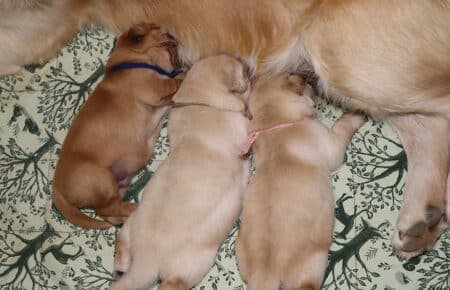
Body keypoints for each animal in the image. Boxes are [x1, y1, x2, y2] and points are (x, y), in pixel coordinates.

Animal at [53, 23, 185, 229]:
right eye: (162, 33)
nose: (174, 36)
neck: (132, 60)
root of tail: (56, 189)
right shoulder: (155, 87)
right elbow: (176, 80)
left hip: (119, 183)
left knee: (109, 213)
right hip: (101, 179)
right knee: (106, 209)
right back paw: (134, 208)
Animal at [108, 55, 250, 290]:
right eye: (240, 67)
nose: (244, 60)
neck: (199, 100)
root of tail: (146, 259)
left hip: (129, 226)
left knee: (121, 246)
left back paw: (119, 270)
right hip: (194, 264)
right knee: (172, 283)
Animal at [236, 74, 366, 290]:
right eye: (296, 78)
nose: (308, 78)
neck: (277, 123)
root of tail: (264, 273)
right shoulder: (332, 144)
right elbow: (343, 126)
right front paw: (356, 114)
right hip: (312, 266)